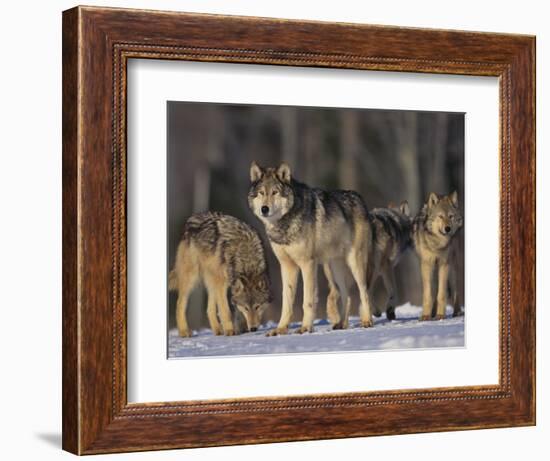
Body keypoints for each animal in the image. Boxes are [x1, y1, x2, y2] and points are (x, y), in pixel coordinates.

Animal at [249, 162, 376, 334]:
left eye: (275, 192)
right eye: (261, 193)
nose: (264, 209)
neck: (284, 225)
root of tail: (359, 198)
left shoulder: (307, 264)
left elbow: (307, 301)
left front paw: (305, 327)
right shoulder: (287, 266)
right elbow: (286, 301)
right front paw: (280, 329)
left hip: (355, 263)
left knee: (364, 292)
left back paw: (367, 321)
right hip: (334, 268)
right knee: (347, 296)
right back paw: (341, 324)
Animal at [414, 191, 466, 320]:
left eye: (451, 216)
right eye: (440, 216)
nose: (448, 228)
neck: (437, 244)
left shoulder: (444, 264)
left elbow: (441, 293)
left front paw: (441, 314)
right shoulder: (426, 264)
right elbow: (428, 294)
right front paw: (425, 315)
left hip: (452, 267)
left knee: (455, 290)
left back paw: (456, 312)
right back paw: (432, 313)